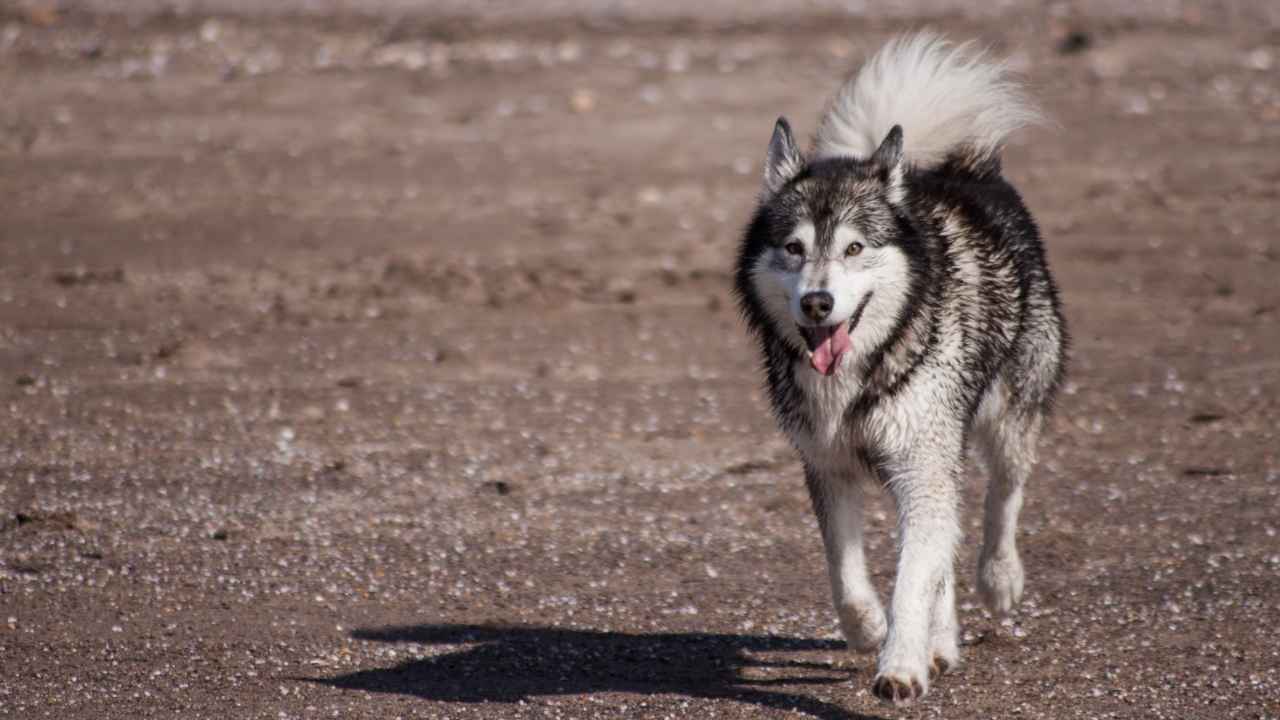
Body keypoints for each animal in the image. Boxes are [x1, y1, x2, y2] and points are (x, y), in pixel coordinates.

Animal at [737, 32, 1064, 702]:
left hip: (1010, 411)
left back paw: (998, 579)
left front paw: (901, 666)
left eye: (855, 247)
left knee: (1003, 494)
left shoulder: (922, 466)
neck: (863, 369)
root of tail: (960, 167)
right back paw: (942, 640)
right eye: (794, 248)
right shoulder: (829, 464)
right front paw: (870, 629)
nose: (817, 302)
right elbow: (845, 570)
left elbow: (915, 576)